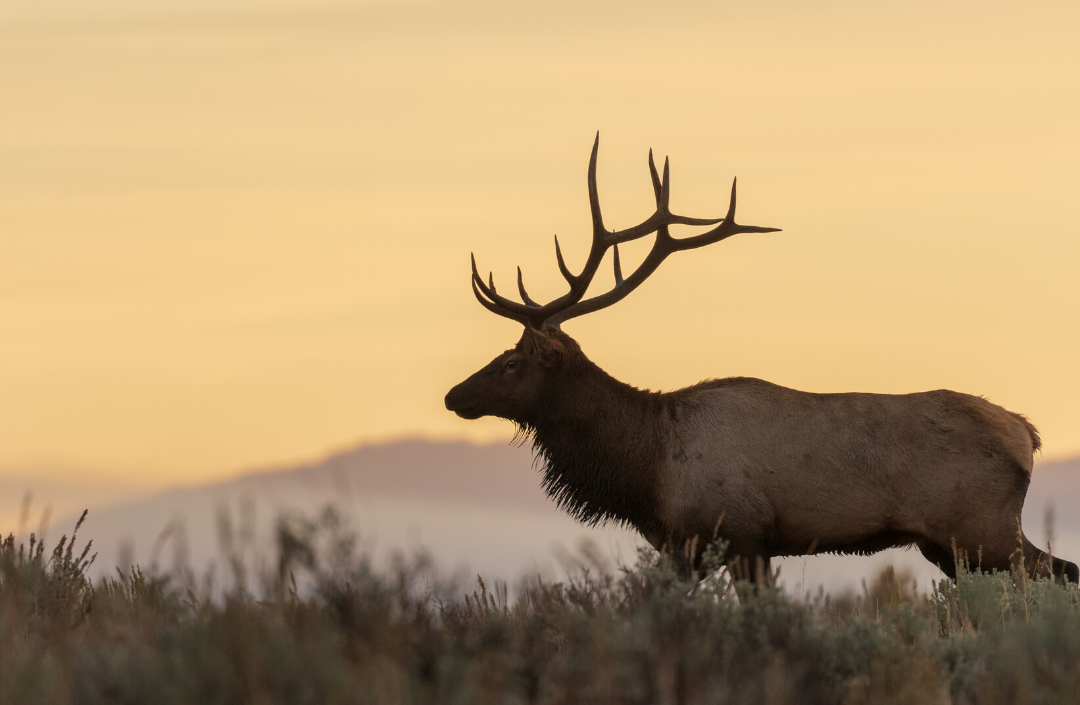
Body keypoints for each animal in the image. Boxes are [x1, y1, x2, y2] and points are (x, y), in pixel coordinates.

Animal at [444, 134, 1078, 585]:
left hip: (982, 529)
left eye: (512, 362)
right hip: (949, 545)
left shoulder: (739, 532)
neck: (645, 468)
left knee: (1057, 573)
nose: (453, 396)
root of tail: (1028, 433)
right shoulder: (688, 547)